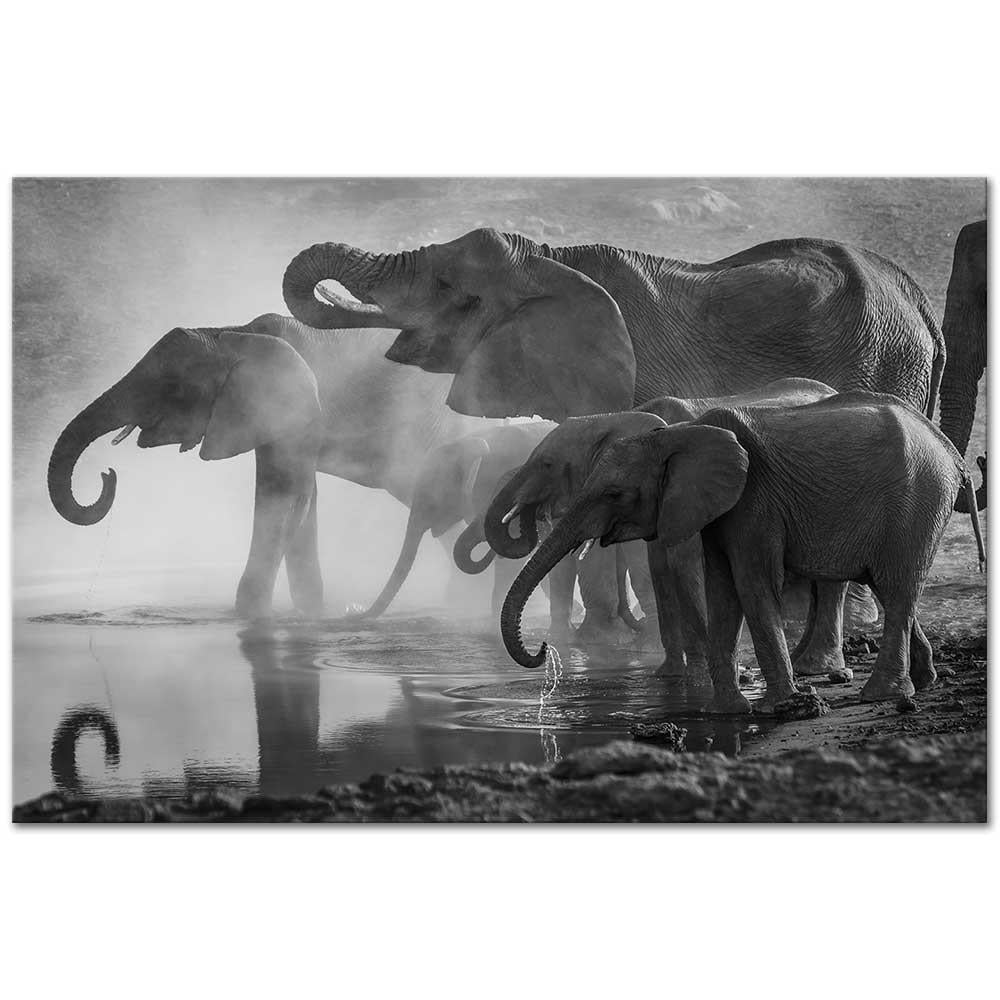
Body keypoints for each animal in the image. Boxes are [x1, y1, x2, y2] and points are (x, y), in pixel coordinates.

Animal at [498, 391, 986, 714]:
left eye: (614, 493)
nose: (544, 649)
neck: (677, 435)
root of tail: (951, 453)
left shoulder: (756, 500)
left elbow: (751, 583)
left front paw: (781, 706)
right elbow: (721, 588)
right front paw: (727, 711)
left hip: (918, 501)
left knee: (897, 586)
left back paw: (883, 695)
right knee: (892, 586)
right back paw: (922, 682)